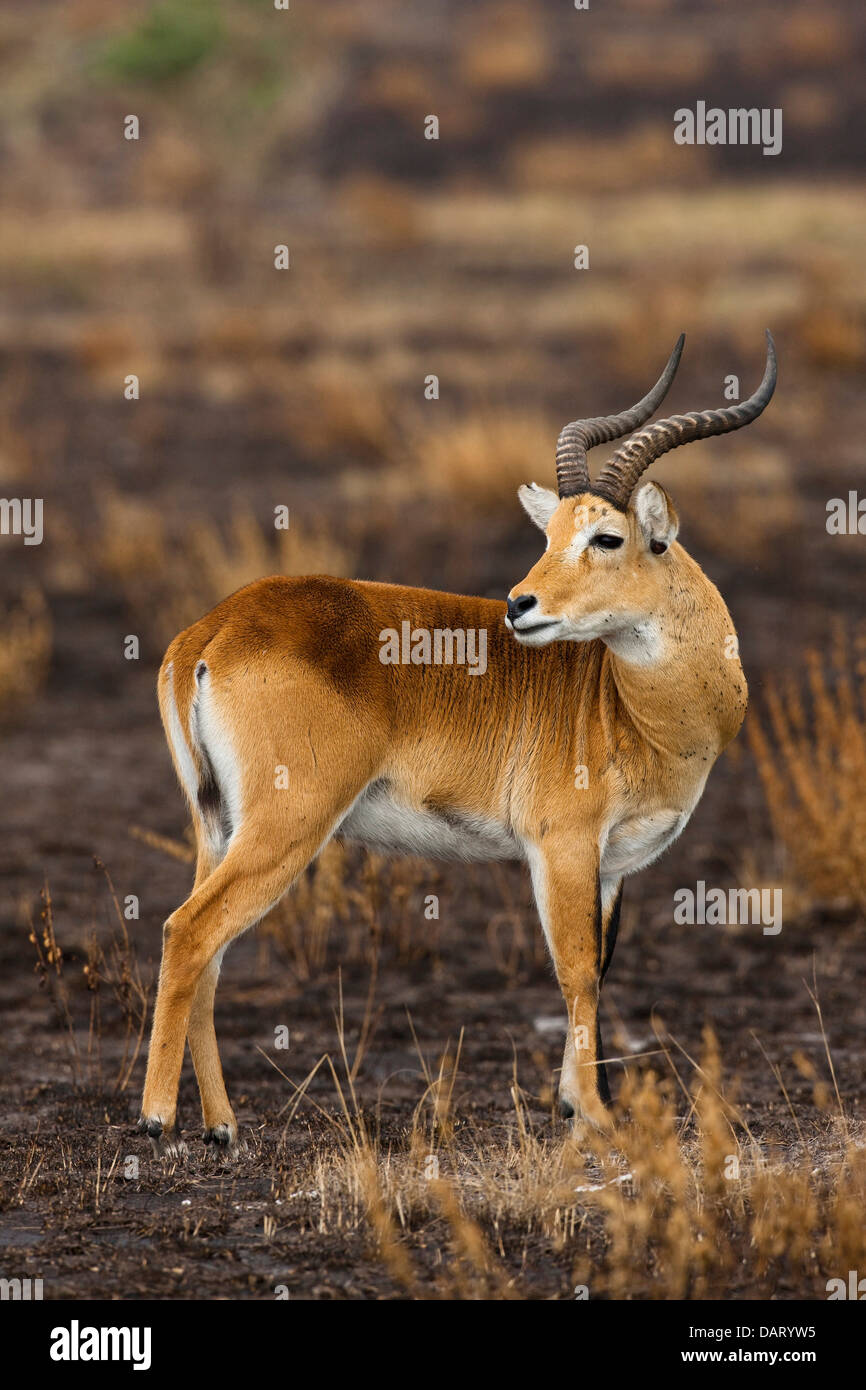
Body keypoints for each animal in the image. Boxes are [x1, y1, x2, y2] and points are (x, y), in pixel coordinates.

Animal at [139, 333, 778, 1150]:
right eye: (551, 535)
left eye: (606, 536)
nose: (520, 604)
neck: (635, 709)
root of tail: (212, 631)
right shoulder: (561, 845)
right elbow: (575, 971)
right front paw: (595, 1117)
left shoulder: (612, 867)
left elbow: (600, 970)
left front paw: (578, 1105)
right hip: (286, 825)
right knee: (188, 932)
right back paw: (156, 1118)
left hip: (218, 824)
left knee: (209, 951)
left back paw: (222, 1125)